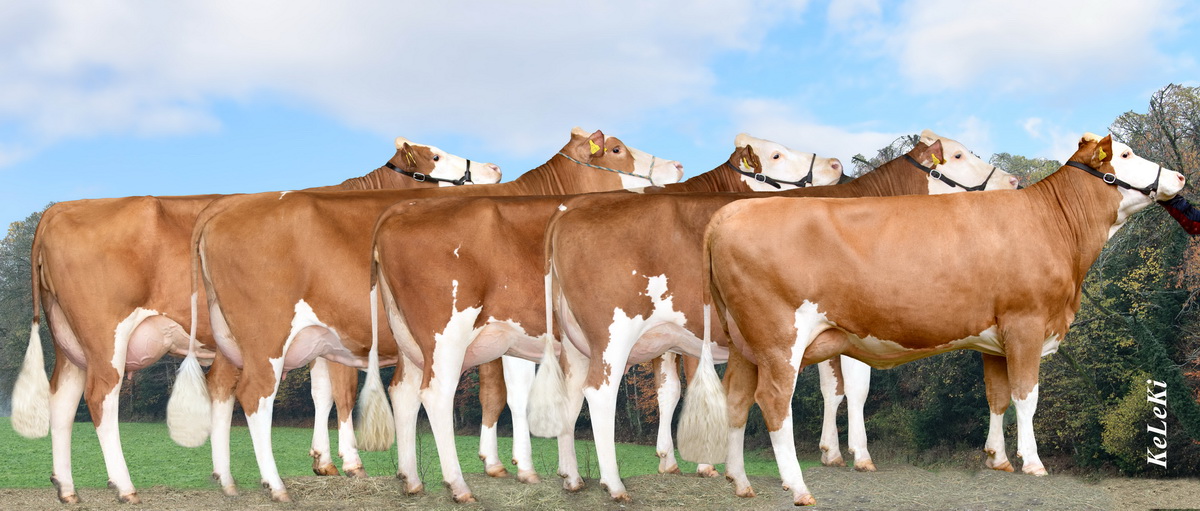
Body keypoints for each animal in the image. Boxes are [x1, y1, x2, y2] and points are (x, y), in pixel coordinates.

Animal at [4, 136, 492, 503]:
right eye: (436, 155)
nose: (493, 168)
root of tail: (59, 208)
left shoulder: (322, 333)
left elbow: (321, 391)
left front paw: (325, 461)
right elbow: (342, 391)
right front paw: (350, 463)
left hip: (69, 342)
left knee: (62, 401)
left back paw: (67, 489)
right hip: (106, 337)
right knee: (101, 399)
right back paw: (125, 487)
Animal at [164, 127, 681, 503]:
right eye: (616, 148)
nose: (677, 164)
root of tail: (225, 205)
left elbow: (501, 395)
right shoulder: (521, 333)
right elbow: (516, 395)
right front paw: (526, 469)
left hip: (233, 339)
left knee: (223, 391)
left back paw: (229, 480)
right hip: (267, 335)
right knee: (258, 396)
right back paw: (277, 486)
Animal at [369, 132, 840, 503]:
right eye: (775, 154)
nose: (836, 164)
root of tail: (399, 210)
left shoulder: (677, 338)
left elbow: (678, 392)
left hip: (416, 341)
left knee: (405, 392)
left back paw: (415, 480)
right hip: (451, 335)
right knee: (442, 395)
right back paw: (467, 485)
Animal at [540, 129, 1017, 501]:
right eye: (959, 155)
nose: (1013, 179)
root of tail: (572, 209)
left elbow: (831, 388)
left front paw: (830, 453)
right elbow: (856, 387)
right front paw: (860, 457)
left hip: (577, 340)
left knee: (572, 393)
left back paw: (573, 479)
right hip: (612, 332)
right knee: (600, 394)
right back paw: (615, 484)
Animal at [691, 133, 1185, 506]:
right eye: (1125, 155)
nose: (1180, 176)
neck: (1053, 225)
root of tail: (729, 213)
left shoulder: (996, 337)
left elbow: (996, 397)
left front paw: (998, 459)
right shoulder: (1026, 323)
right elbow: (1026, 397)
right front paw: (1033, 463)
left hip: (744, 343)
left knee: (737, 400)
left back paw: (742, 483)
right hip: (779, 339)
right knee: (773, 402)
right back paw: (797, 487)